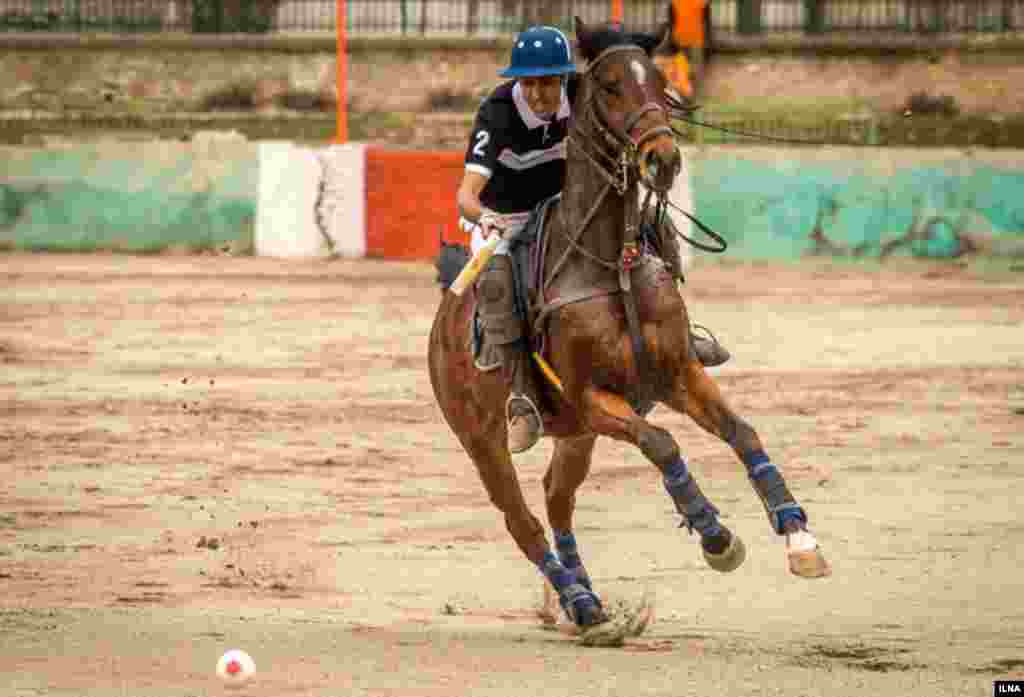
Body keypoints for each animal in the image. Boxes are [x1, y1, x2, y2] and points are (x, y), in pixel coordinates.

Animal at [425, 16, 831, 642]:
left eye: (661, 82)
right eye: (611, 85)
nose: (662, 158)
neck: (607, 264)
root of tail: (440, 323)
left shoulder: (677, 373)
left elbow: (743, 434)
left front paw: (799, 537)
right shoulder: (593, 398)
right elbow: (662, 444)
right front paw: (715, 535)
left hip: (574, 437)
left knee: (556, 499)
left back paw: (586, 605)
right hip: (484, 441)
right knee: (523, 521)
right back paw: (578, 601)